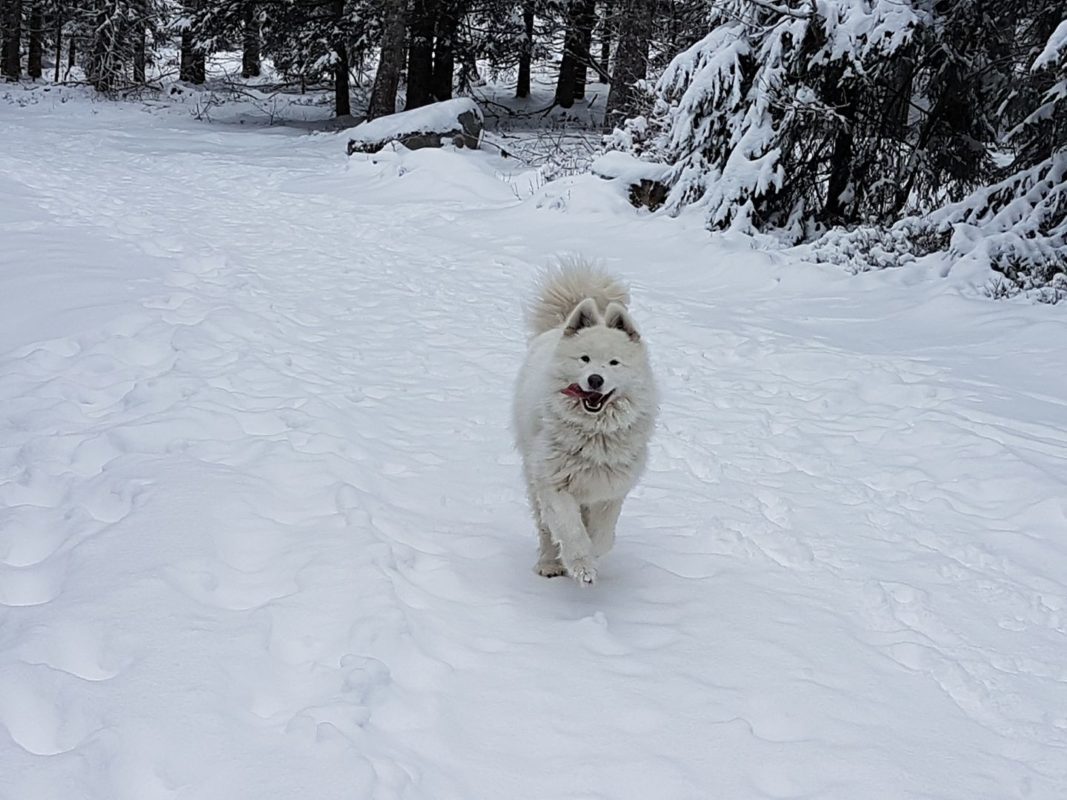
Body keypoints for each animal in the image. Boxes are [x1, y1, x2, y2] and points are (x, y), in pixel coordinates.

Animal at [514, 260, 657, 584]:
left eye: (614, 363)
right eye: (584, 359)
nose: (595, 379)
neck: (595, 432)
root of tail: (558, 326)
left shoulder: (610, 488)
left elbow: (602, 535)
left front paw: (593, 553)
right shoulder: (554, 482)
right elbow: (570, 528)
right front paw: (581, 565)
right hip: (532, 474)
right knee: (544, 527)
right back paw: (549, 563)